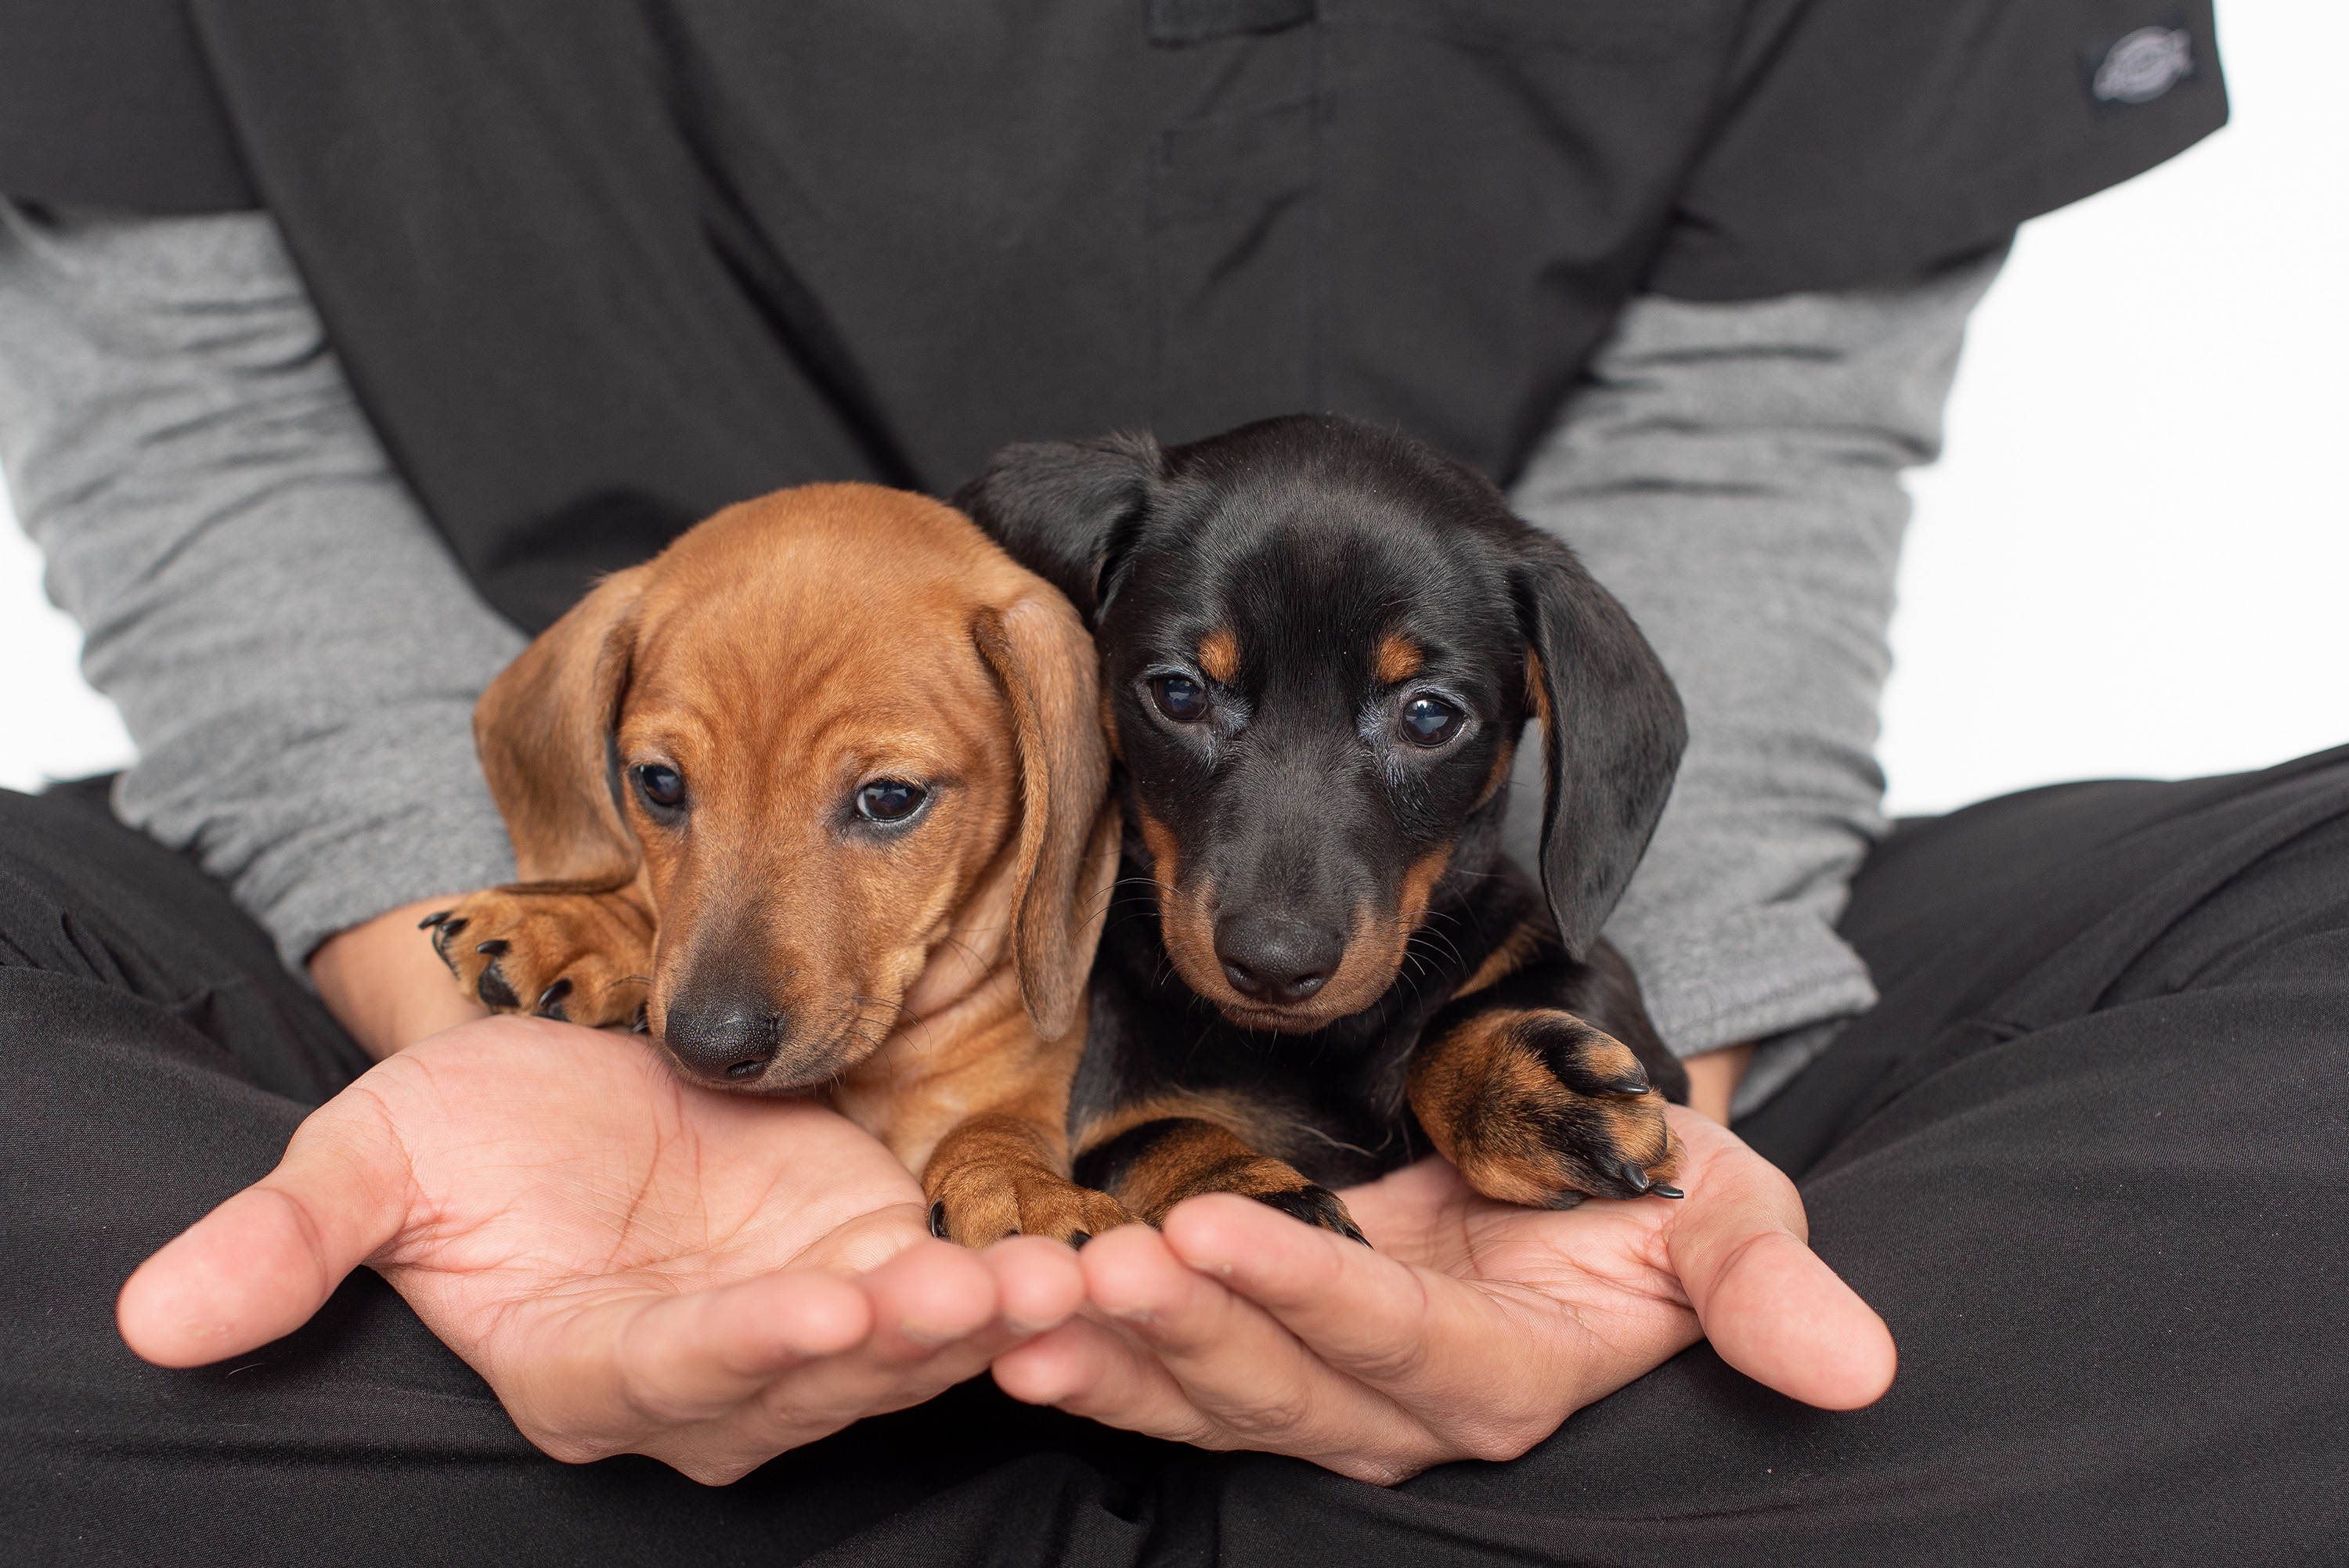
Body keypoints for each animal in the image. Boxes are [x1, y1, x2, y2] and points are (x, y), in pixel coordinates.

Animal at [428, 483, 1132, 1239]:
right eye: (659, 782)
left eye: (890, 797)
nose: (709, 1045)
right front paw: (577, 925)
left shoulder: (1019, 1082)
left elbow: (996, 1123)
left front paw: (1017, 1183)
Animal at [954, 413, 1691, 1239]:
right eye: (1178, 693)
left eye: (1428, 715)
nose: (1275, 964)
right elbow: (1154, 1133)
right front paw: (1236, 1182)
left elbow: (1459, 1020)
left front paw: (1529, 1089)